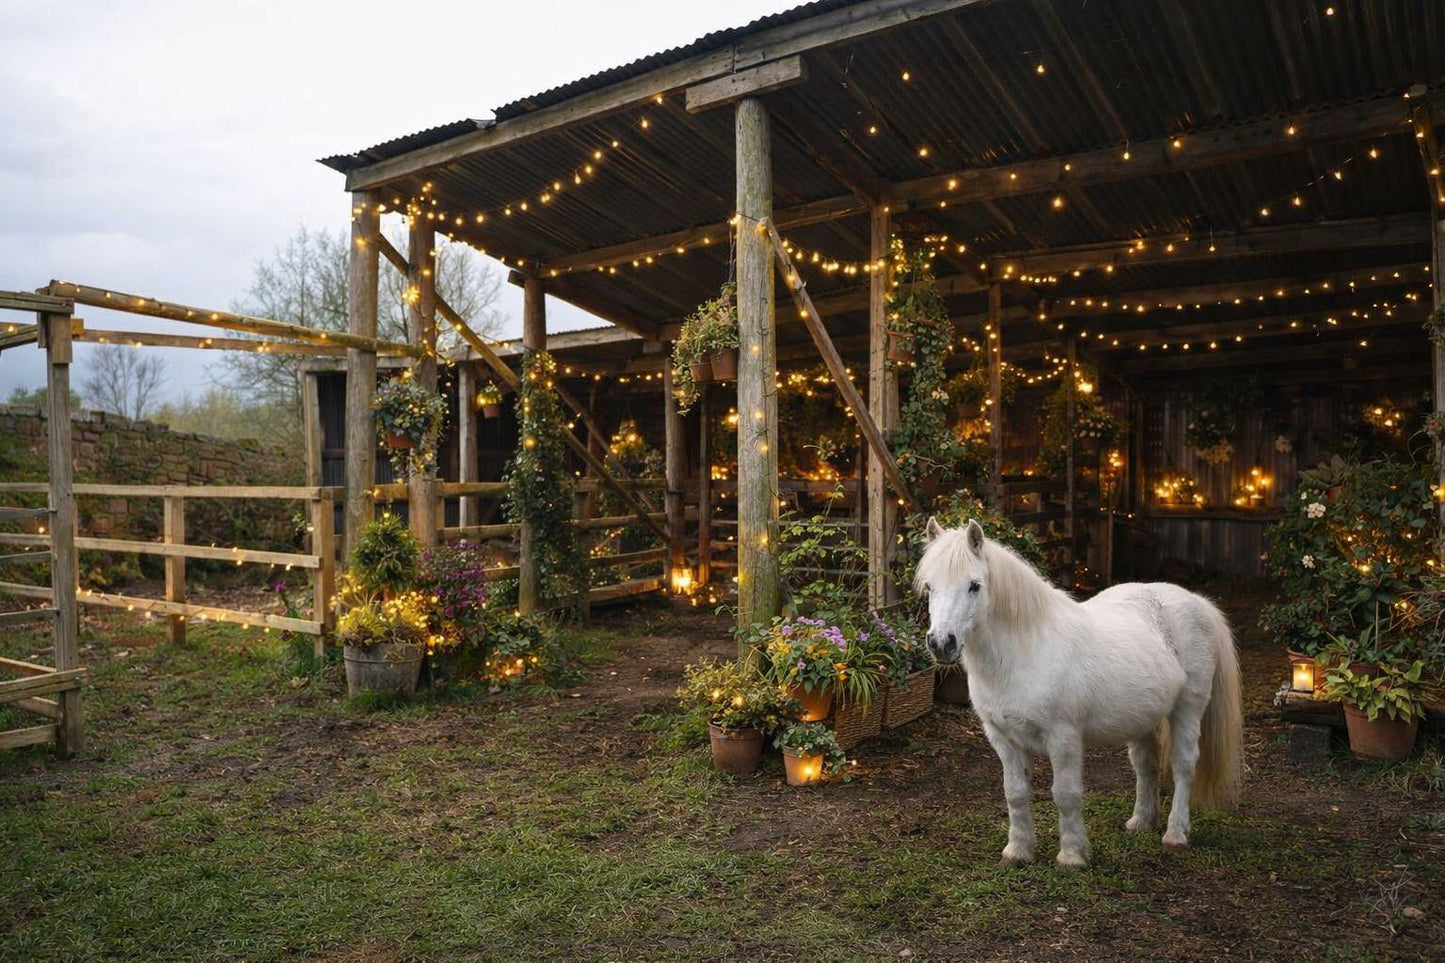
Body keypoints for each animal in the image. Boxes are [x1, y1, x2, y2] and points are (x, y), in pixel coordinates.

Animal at [915, 518, 1243, 869]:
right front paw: (1017, 852)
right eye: (929, 587)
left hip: (1188, 708)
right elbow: (1015, 793)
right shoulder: (1004, 738)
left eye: (974, 585)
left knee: (1183, 765)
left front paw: (1072, 855)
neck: (1025, 652)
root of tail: (1197, 602)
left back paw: (1176, 834)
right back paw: (1141, 821)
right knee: (1145, 764)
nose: (941, 644)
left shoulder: (1063, 738)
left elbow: (1066, 794)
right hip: (1142, 717)